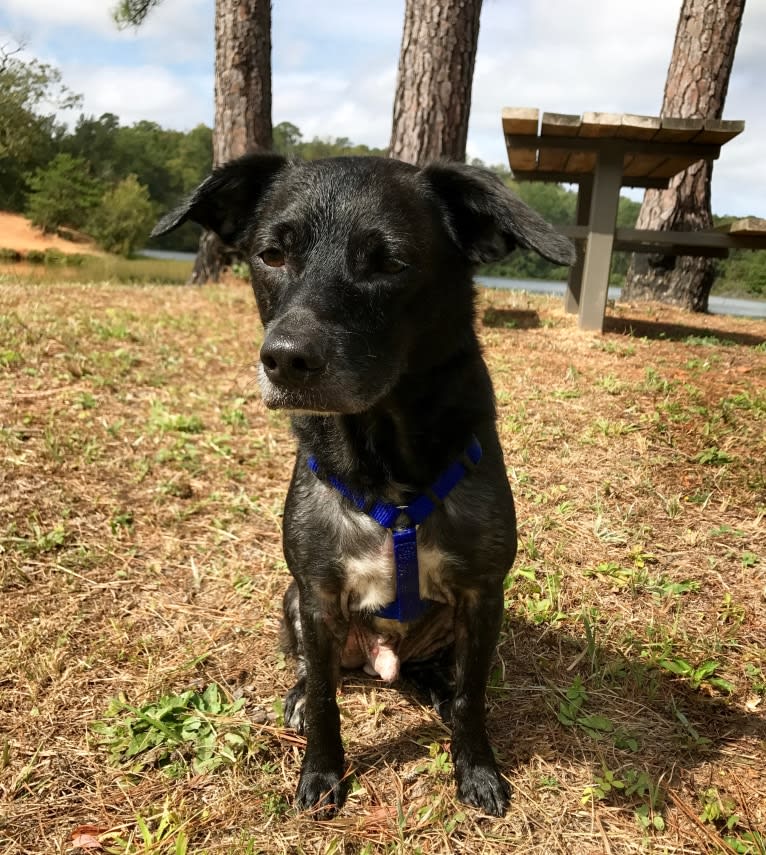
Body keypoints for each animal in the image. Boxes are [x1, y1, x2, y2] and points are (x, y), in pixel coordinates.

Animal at [154, 154, 576, 816]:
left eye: (391, 263)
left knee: (439, 676)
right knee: (319, 673)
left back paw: (433, 687)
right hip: (292, 602)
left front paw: (477, 770)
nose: (285, 359)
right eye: (271, 254)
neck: (382, 464)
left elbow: (473, 696)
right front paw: (322, 774)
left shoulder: (483, 595)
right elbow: (329, 700)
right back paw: (303, 694)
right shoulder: (319, 595)